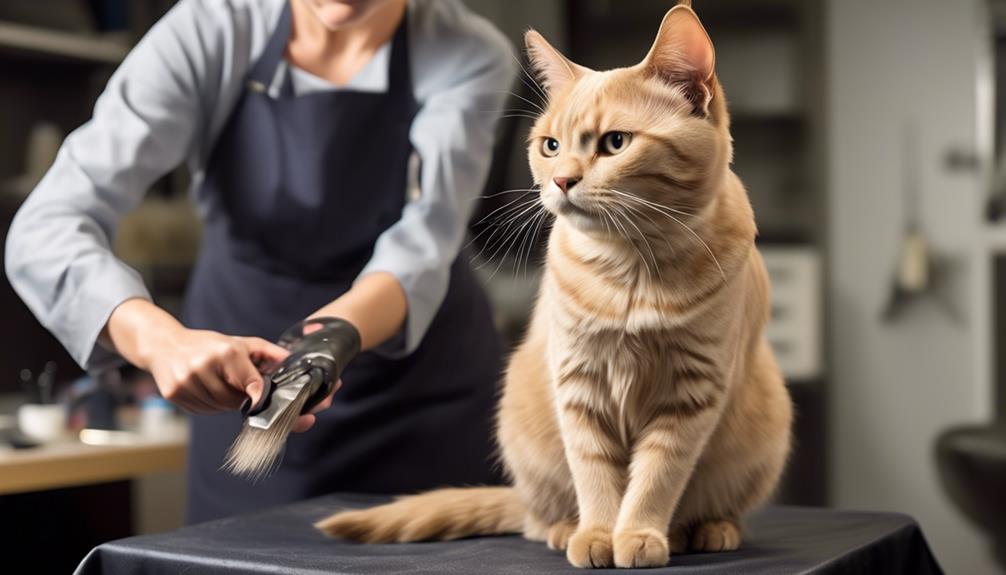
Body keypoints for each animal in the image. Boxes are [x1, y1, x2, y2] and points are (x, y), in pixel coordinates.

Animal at [317, 3, 788, 570]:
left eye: (615, 142)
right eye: (550, 146)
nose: (562, 180)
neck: (633, 272)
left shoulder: (692, 391)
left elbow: (657, 474)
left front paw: (639, 533)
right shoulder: (578, 382)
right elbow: (596, 473)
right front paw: (600, 534)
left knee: (715, 504)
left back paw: (705, 529)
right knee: (539, 516)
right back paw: (567, 529)